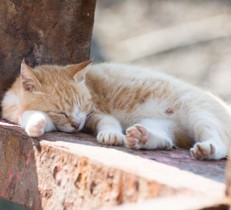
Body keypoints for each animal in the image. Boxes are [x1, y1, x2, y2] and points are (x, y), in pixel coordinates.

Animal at [1, 60, 231, 160]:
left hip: (201, 114)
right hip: (157, 124)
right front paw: (36, 122)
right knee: (165, 140)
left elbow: (109, 122)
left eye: (83, 105)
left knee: (220, 144)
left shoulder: (95, 113)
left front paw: (111, 135)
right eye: (61, 112)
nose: (77, 124)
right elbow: (31, 117)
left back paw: (207, 150)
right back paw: (142, 137)